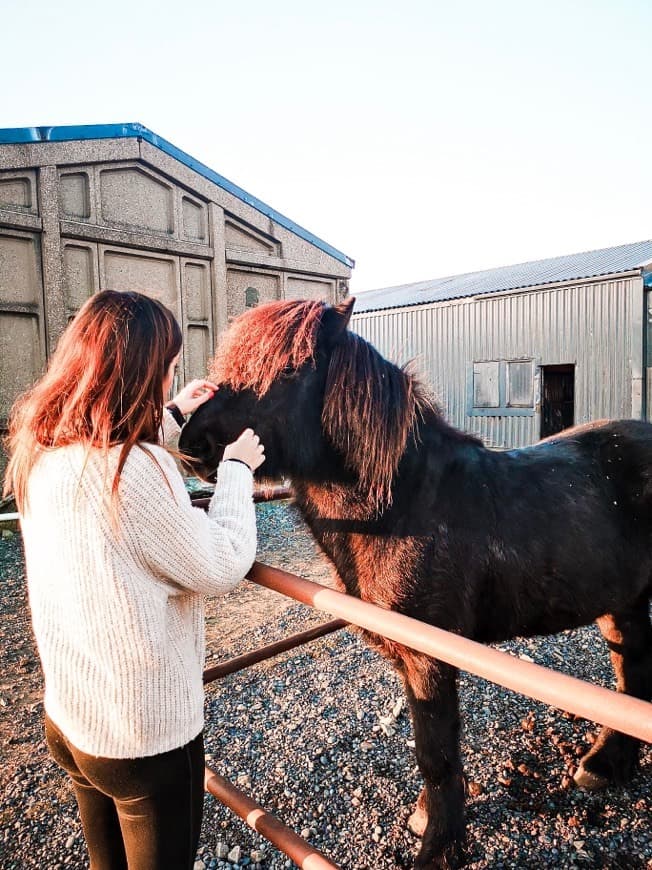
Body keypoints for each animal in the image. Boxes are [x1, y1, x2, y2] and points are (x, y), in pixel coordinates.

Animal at [180, 300, 652, 870]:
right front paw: (430, 820)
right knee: (630, 669)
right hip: (622, 601)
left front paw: (439, 848)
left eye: (290, 369)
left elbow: (435, 751)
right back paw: (605, 764)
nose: (191, 443)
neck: (403, 506)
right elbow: (430, 744)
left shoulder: (432, 656)